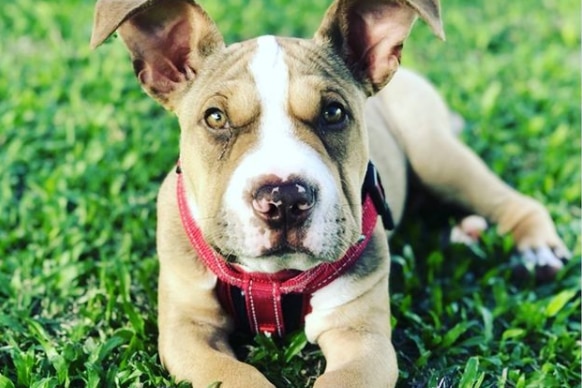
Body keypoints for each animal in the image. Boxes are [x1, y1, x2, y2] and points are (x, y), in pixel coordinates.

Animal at [90, 0, 572, 384]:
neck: (273, 281)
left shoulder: (362, 342)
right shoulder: (188, 331)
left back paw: (536, 251)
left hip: (435, 152)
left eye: (334, 113)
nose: (284, 199)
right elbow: (237, 375)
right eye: (214, 118)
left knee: (508, 200)